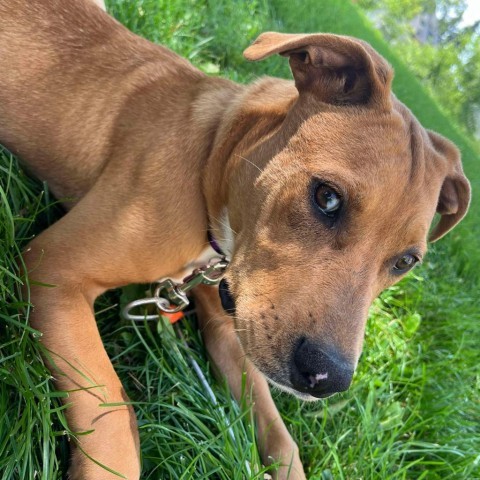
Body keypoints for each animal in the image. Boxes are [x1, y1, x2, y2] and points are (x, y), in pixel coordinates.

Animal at [0, 0, 470, 478]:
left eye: (405, 262)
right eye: (327, 197)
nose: (328, 379)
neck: (214, 154)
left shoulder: (233, 329)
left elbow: (283, 440)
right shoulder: (56, 269)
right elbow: (113, 416)